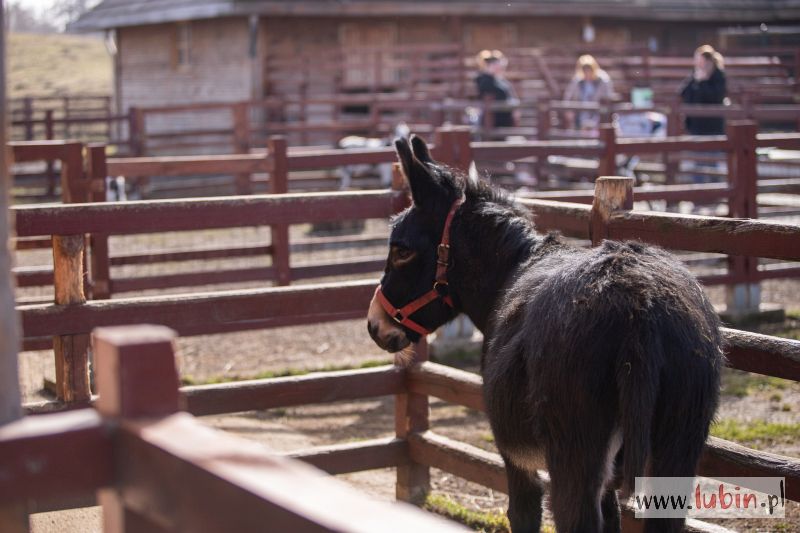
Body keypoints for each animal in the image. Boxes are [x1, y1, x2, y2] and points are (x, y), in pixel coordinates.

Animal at [367, 135, 723, 533]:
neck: (516, 267)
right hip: (680, 441)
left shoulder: (515, 459)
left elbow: (522, 513)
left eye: (401, 250)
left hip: (575, 449)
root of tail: (638, 302)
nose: (374, 325)